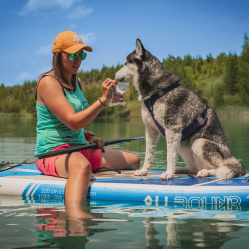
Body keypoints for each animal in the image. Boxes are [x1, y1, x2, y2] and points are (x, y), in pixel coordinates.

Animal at [114, 38, 245, 179]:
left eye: (125, 63)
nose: (114, 75)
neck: (156, 91)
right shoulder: (150, 130)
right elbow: (148, 154)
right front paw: (144, 171)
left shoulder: (172, 128)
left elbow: (170, 155)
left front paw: (168, 173)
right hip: (184, 146)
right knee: (194, 168)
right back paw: (180, 169)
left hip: (199, 143)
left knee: (219, 167)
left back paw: (204, 172)